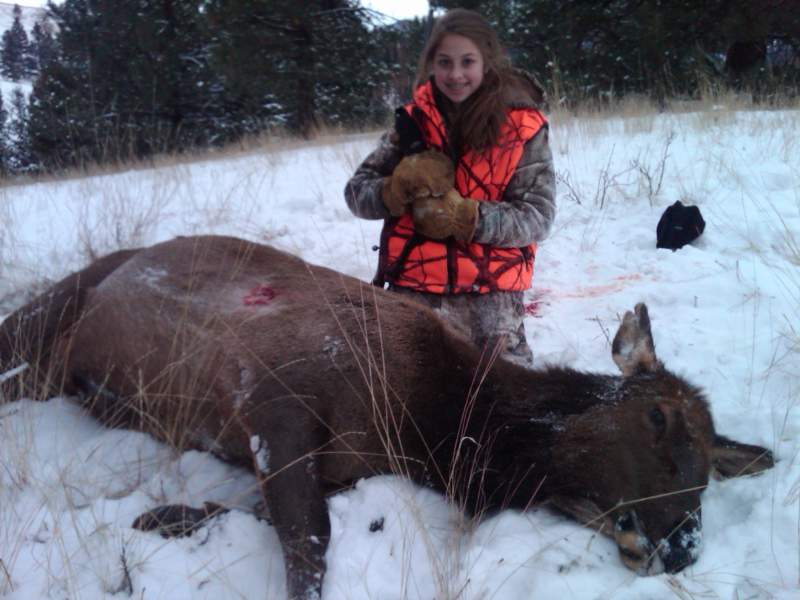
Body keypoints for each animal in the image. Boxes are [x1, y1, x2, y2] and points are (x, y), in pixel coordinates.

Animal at [0, 235, 773, 600]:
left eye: (711, 474)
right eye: (658, 418)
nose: (684, 544)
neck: (430, 423)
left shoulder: (328, 462)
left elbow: (264, 514)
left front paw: (161, 520)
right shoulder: (272, 389)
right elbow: (309, 541)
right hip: (48, 313)